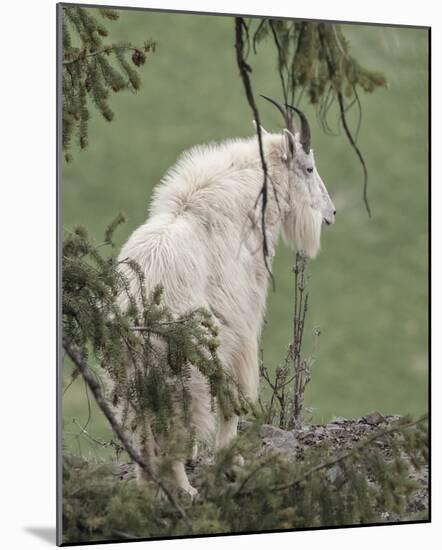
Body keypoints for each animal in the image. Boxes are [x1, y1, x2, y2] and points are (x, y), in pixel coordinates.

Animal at [116, 97, 334, 498]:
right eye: (309, 168)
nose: (330, 214)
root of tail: (135, 305)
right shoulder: (241, 325)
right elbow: (233, 395)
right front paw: (231, 460)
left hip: (132, 372)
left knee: (144, 426)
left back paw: (148, 486)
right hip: (181, 364)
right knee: (176, 422)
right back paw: (185, 488)